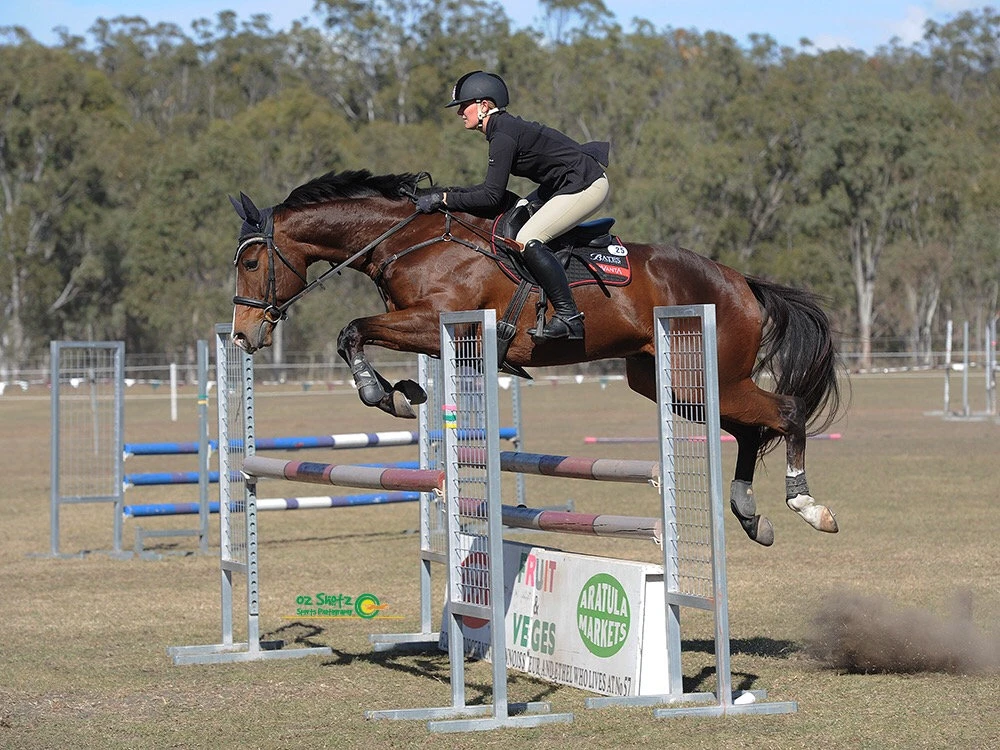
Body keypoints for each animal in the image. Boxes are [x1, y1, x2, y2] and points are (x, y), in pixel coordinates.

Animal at [229, 169, 844, 547]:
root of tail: (741, 282)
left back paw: (807, 505)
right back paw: (750, 513)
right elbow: (357, 336)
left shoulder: (437, 321)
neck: (410, 241)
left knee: (785, 412)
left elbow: (351, 330)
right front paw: (405, 394)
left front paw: (385, 393)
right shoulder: (430, 331)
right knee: (746, 428)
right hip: (671, 384)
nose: (242, 336)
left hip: (708, 374)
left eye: (252, 263)